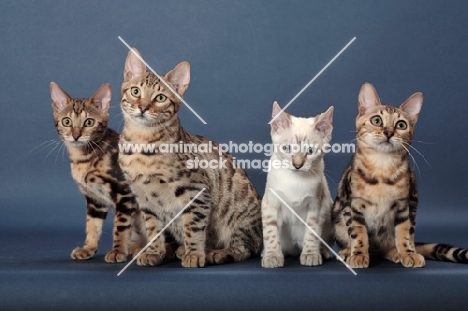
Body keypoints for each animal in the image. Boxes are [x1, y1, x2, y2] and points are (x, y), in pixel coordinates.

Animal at [49, 82, 144, 264]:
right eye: (66, 121)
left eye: (89, 122)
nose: (76, 135)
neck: (83, 158)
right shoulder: (94, 199)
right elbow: (92, 225)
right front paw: (88, 248)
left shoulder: (124, 192)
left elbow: (121, 226)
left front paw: (118, 251)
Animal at [117, 48, 264, 268]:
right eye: (135, 92)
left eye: (160, 98)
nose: (143, 107)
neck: (141, 142)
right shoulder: (143, 197)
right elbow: (153, 229)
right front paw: (153, 252)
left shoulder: (196, 191)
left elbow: (193, 227)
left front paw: (194, 254)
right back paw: (179, 250)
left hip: (237, 215)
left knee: (245, 248)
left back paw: (216, 253)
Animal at [262, 102, 334, 268]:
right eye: (287, 148)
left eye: (310, 151)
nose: (297, 165)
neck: (294, 180)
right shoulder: (271, 204)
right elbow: (270, 233)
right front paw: (272, 256)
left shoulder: (316, 206)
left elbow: (312, 233)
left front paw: (310, 254)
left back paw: (323, 252)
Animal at [330, 83, 468, 268]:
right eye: (376, 120)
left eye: (401, 125)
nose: (389, 132)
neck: (382, 168)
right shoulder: (352, 205)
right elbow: (358, 234)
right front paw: (358, 254)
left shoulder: (404, 206)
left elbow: (404, 234)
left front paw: (408, 254)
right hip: (337, 216)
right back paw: (347, 252)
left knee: (392, 244)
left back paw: (395, 252)